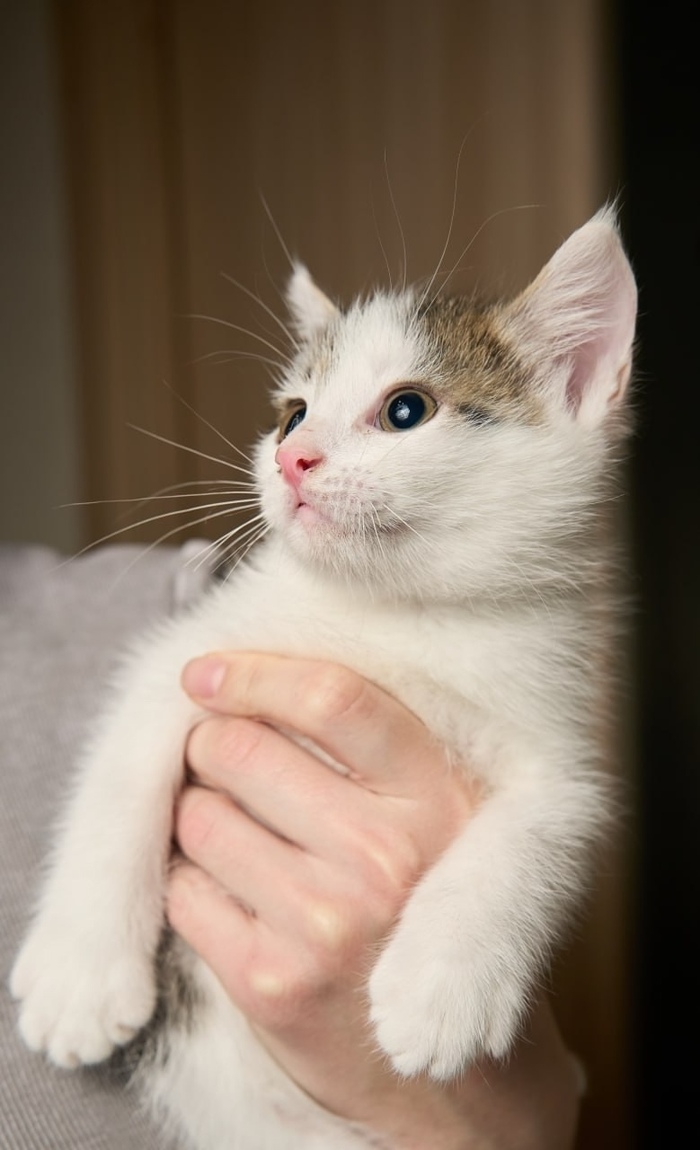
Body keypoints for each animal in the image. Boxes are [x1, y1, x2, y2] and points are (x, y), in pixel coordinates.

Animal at [10, 207, 636, 1149]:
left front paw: (441, 988)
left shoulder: (563, 746)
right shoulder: (196, 654)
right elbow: (120, 771)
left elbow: (543, 827)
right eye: (292, 414)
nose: (291, 459)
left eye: (407, 409)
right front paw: (77, 975)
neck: (398, 615)